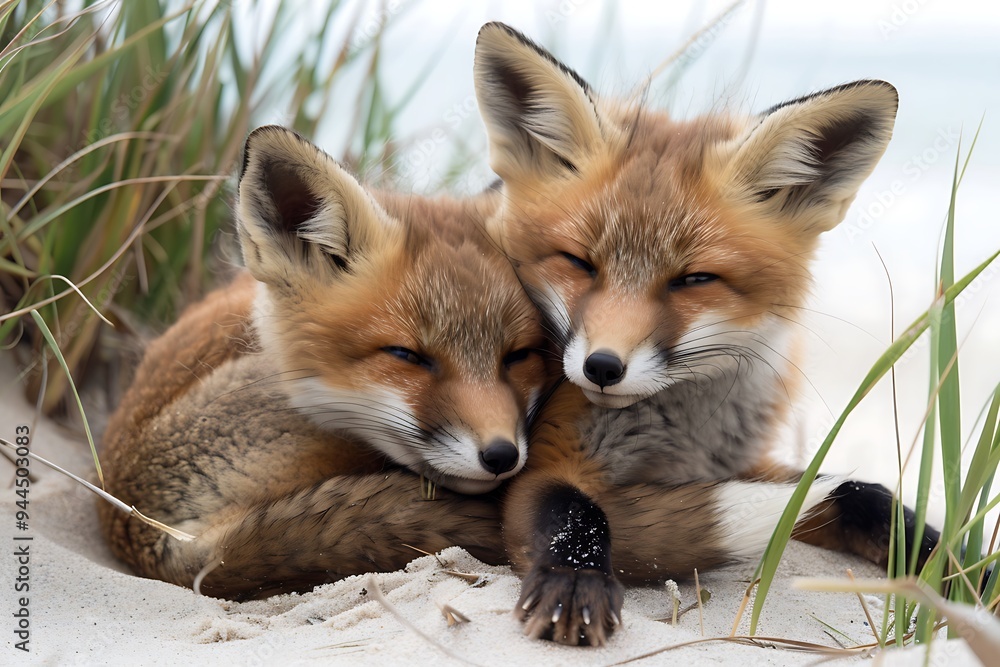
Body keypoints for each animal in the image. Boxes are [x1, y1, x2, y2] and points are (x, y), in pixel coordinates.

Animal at [472, 22, 941, 645]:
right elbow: (575, 513)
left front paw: (960, 568)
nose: (601, 367)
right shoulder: (545, 460)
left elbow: (867, 497)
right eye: (579, 262)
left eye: (694, 279)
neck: (682, 438)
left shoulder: (746, 468)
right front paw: (574, 582)